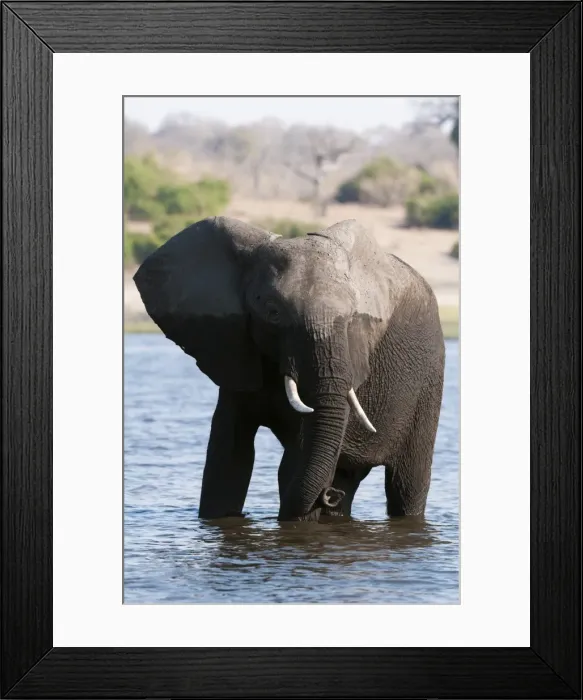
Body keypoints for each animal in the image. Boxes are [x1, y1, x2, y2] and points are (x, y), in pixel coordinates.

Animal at [133, 216, 445, 522]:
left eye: (351, 318)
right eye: (273, 313)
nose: (327, 495)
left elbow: (293, 461)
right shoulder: (236, 352)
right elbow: (228, 454)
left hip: (428, 385)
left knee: (406, 485)